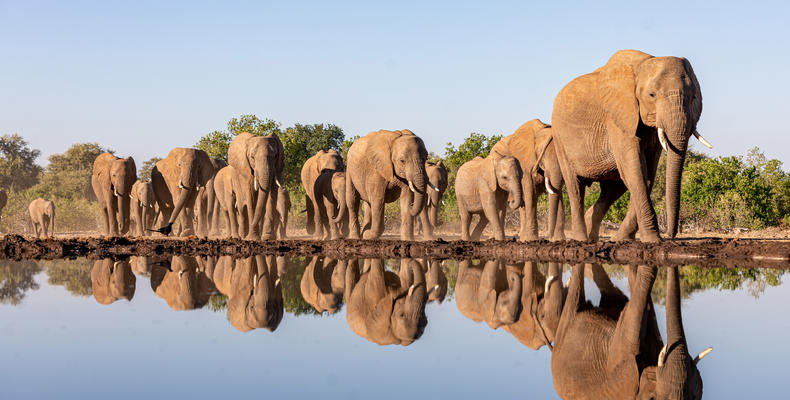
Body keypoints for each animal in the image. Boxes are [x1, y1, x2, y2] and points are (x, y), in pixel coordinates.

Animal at [550, 50, 709, 242]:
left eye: (693, 97)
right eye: (652, 95)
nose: (670, 235)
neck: (642, 66)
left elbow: (647, 173)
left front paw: (622, 239)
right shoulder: (617, 117)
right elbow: (635, 169)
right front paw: (653, 240)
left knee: (612, 189)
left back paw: (592, 234)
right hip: (560, 140)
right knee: (575, 187)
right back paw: (581, 239)